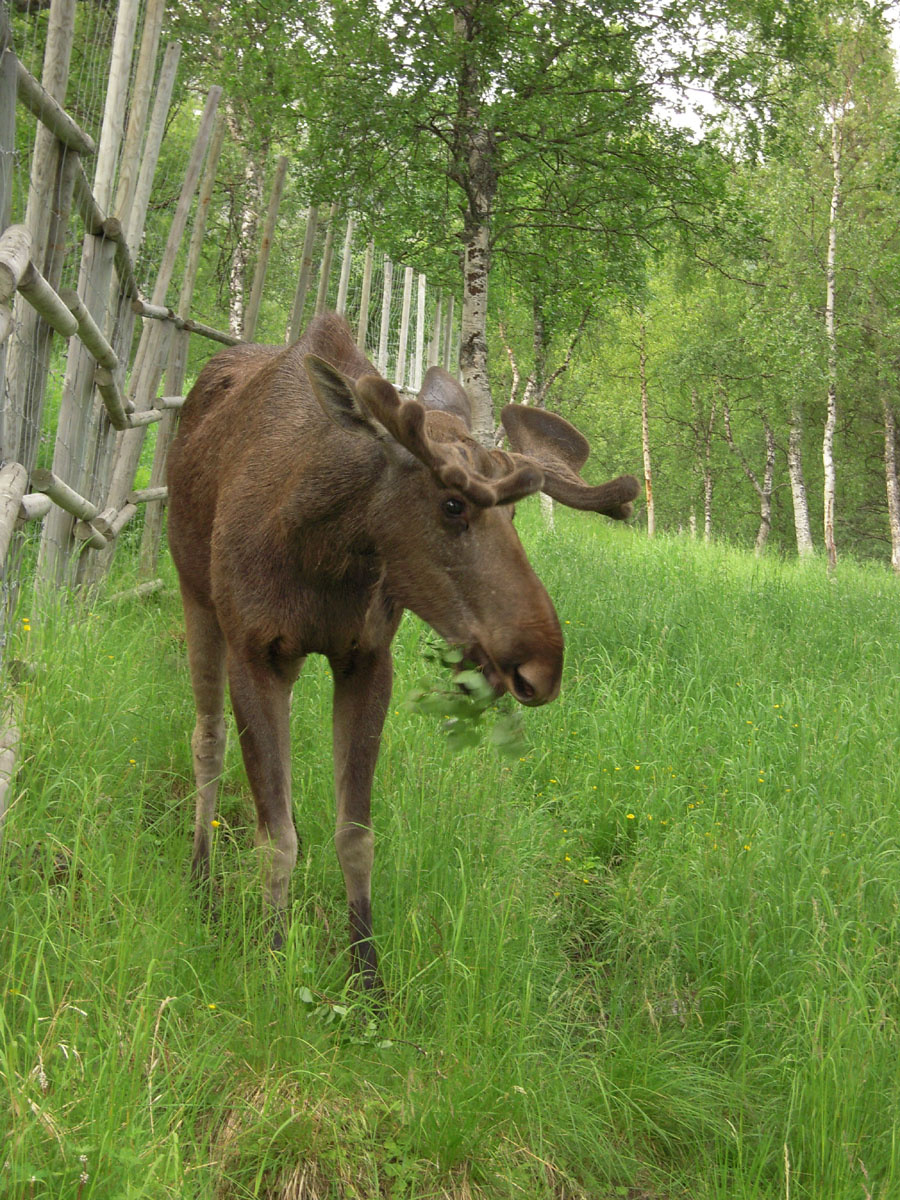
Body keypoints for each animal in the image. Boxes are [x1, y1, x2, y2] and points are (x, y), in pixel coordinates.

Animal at [165, 314, 638, 988]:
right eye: (452, 503)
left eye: (516, 514)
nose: (542, 664)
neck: (320, 552)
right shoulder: (254, 649)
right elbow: (275, 836)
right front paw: (275, 956)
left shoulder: (366, 657)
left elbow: (355, 834)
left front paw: (368, 972)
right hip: (195, 595)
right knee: (208, 739)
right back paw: (201, 879)